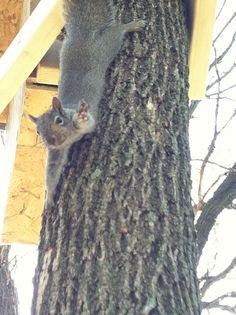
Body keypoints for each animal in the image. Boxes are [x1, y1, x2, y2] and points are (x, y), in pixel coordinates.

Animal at [28, 0, 145, 206]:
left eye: (58, 120)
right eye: (38, 131)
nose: (51, 142)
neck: (68, 137)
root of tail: (81, 35)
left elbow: (88, 122)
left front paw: (81, 116)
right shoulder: (57, 153)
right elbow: (52, 171)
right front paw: (49, 197)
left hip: (105, 47)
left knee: (116, 33)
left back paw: (132, 25)